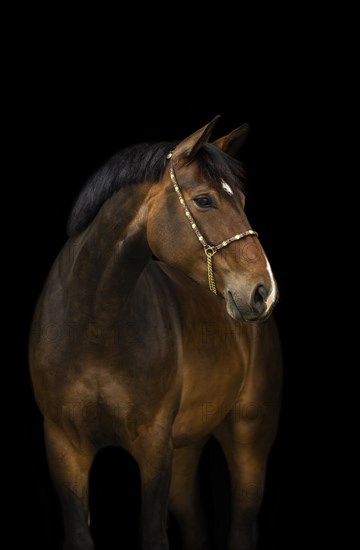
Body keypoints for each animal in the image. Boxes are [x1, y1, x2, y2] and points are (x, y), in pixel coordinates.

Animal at [28, 116, 282, 550]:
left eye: (244, 201)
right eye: (204, 200)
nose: (262, 291)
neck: (92, 326)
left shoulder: (153, 446)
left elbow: (152, 534)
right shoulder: (63, 446)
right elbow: (79, 534)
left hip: (249, 437)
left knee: (241, 528)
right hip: (186, 447)